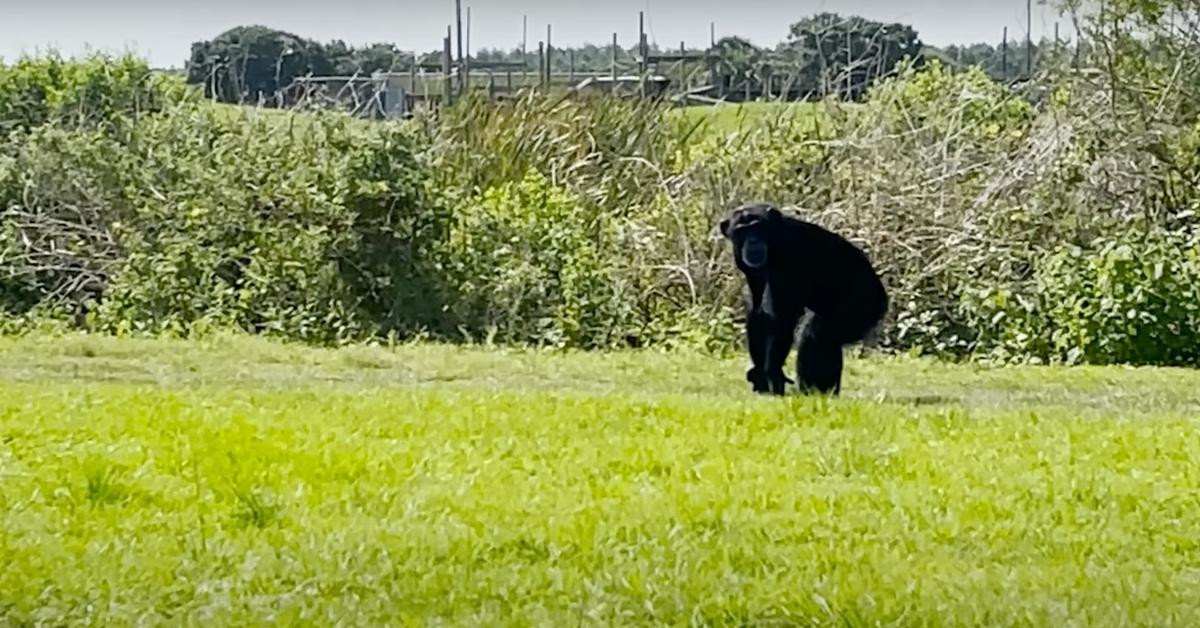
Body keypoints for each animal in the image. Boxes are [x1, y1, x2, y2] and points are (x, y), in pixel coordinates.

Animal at [715, 204, 888, 396]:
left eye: (757, 227)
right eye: (742, 231)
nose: (752, 240)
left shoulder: (787, 253)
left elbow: (783, 316)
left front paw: (773, 374)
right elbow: (759, 310)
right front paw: (760, 376)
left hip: (862, 307)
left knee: (818, 335)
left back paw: (815, 391)